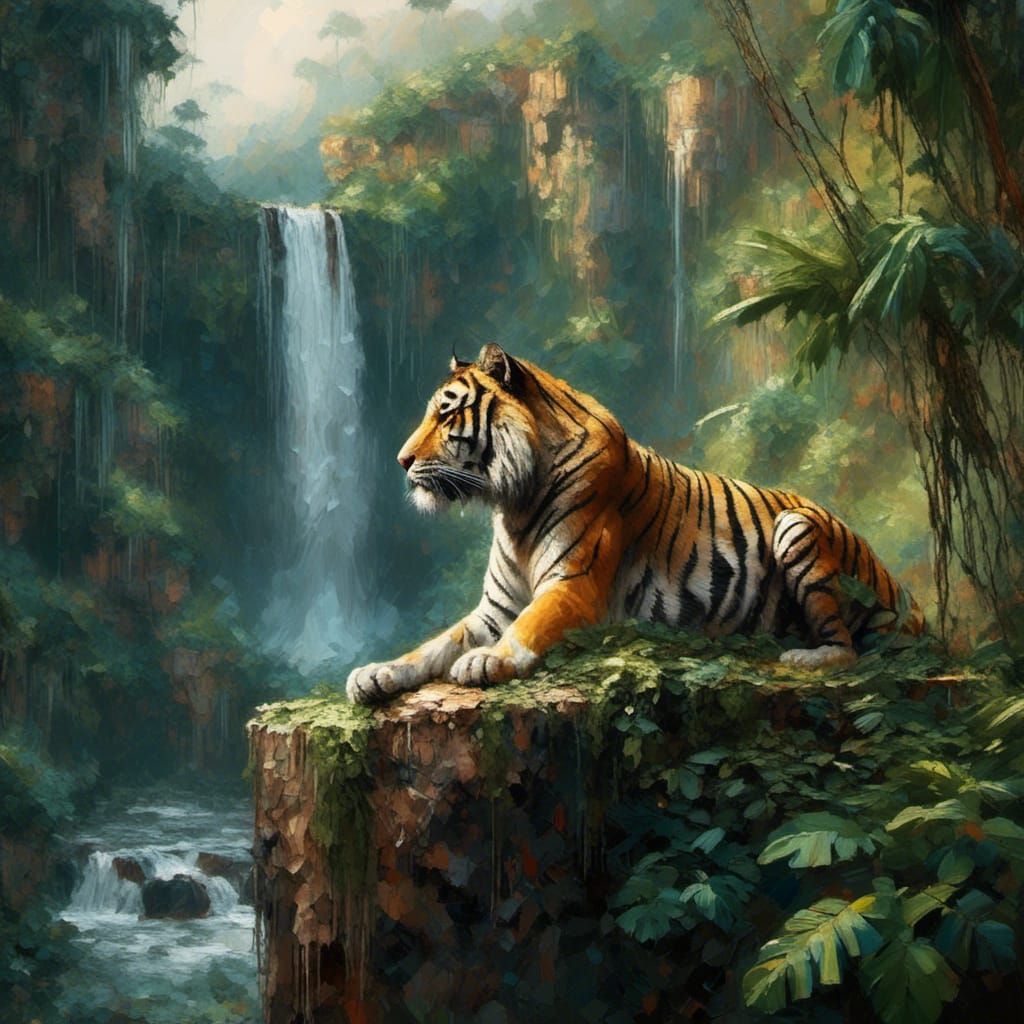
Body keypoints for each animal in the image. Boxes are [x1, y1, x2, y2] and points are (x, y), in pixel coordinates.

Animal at [346, 344, 924, 704]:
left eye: (445, 415)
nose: (399, 460)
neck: (514, 503)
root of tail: (907, 595)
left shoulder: (572, 587)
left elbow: (524, 629)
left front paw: (485, 661)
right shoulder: (495, 607)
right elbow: (433, 645)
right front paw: (377, 672)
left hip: (796, 526)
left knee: (849, 649)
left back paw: (805, 656)